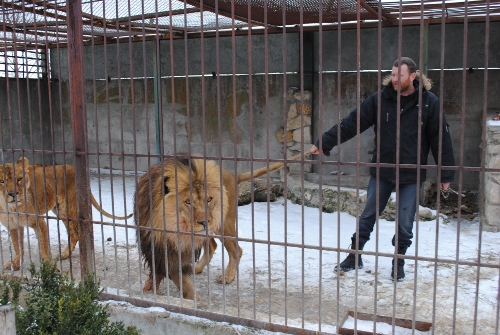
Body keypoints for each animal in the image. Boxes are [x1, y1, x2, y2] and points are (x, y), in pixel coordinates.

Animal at [0, 157, 132, 270]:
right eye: (2, 181)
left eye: (19, 179)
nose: (13, 194)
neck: (10, 207)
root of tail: (73, 168)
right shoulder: (13, 226)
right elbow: (18, 246)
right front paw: (15, 263)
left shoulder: (39, 222)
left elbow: (44, 247)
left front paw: (49, 268)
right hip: (59, 210)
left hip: (66, 210)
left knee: (74, 234)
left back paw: (64, 254)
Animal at [135, 154, 304, 300]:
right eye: (188, 202)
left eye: (209, 199)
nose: (205, 221)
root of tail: (233, 175)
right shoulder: (154, 245)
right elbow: (158, 271)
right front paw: (149, 290)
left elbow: (180, 279)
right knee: (212, 246)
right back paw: (196, 268)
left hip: (223, 224)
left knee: (236, 250)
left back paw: (228, 276)